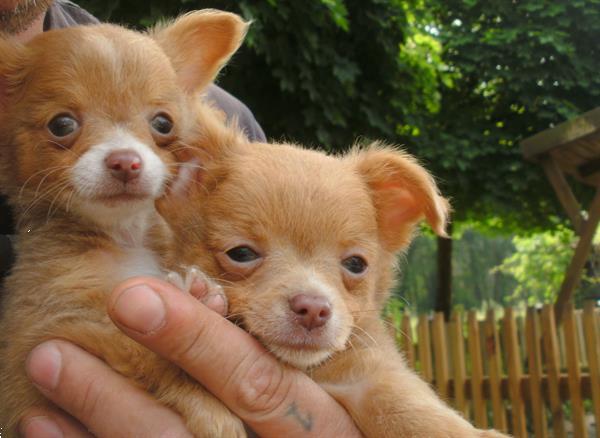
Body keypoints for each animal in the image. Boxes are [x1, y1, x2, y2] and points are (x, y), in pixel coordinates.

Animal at [0, 11, 250, 438]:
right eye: (62, 125)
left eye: (163, 123)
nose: (126, 162)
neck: (126, 239)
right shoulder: (48, 334)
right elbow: (149, 354)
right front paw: (211, 409)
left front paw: (201, 298)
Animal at [159, 134, 506, 438]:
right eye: (241, 253)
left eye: (356, 264)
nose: (313, 308)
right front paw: (203, 301)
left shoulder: (369, 373)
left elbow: (401, 402)